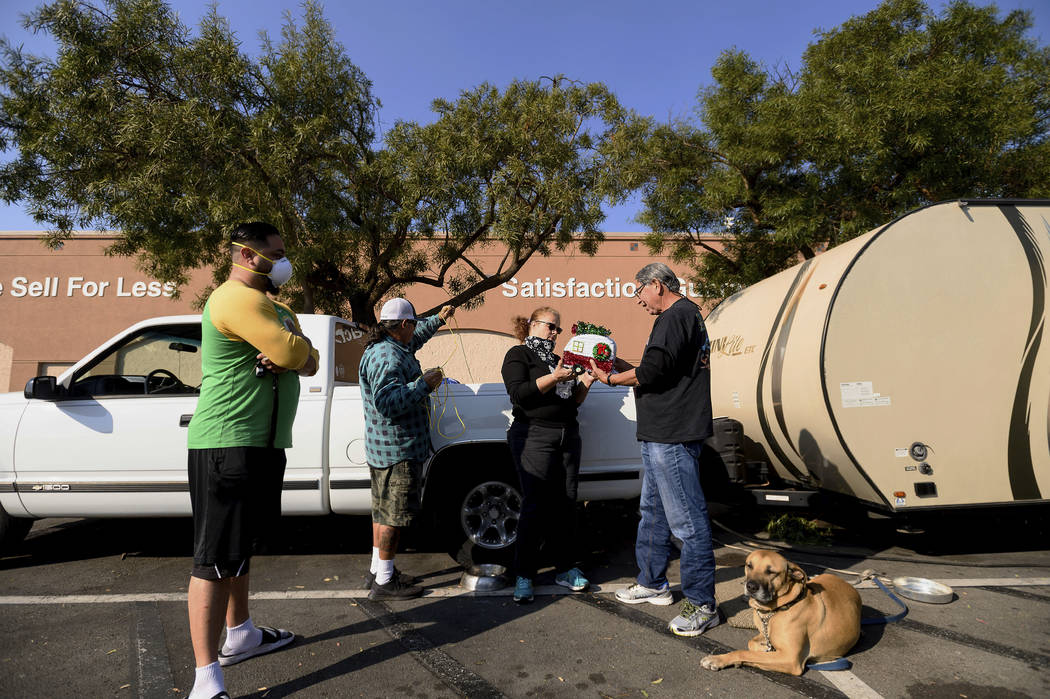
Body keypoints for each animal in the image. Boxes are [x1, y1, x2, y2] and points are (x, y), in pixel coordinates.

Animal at [697, 545, 860, 671]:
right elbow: (752, 644)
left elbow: (743, 652)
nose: (751, 587)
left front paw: (718, 659)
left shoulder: (791, 659)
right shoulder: (766, 635)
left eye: (771, 572)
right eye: (749, 565)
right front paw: (762, 650)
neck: (778, 609)